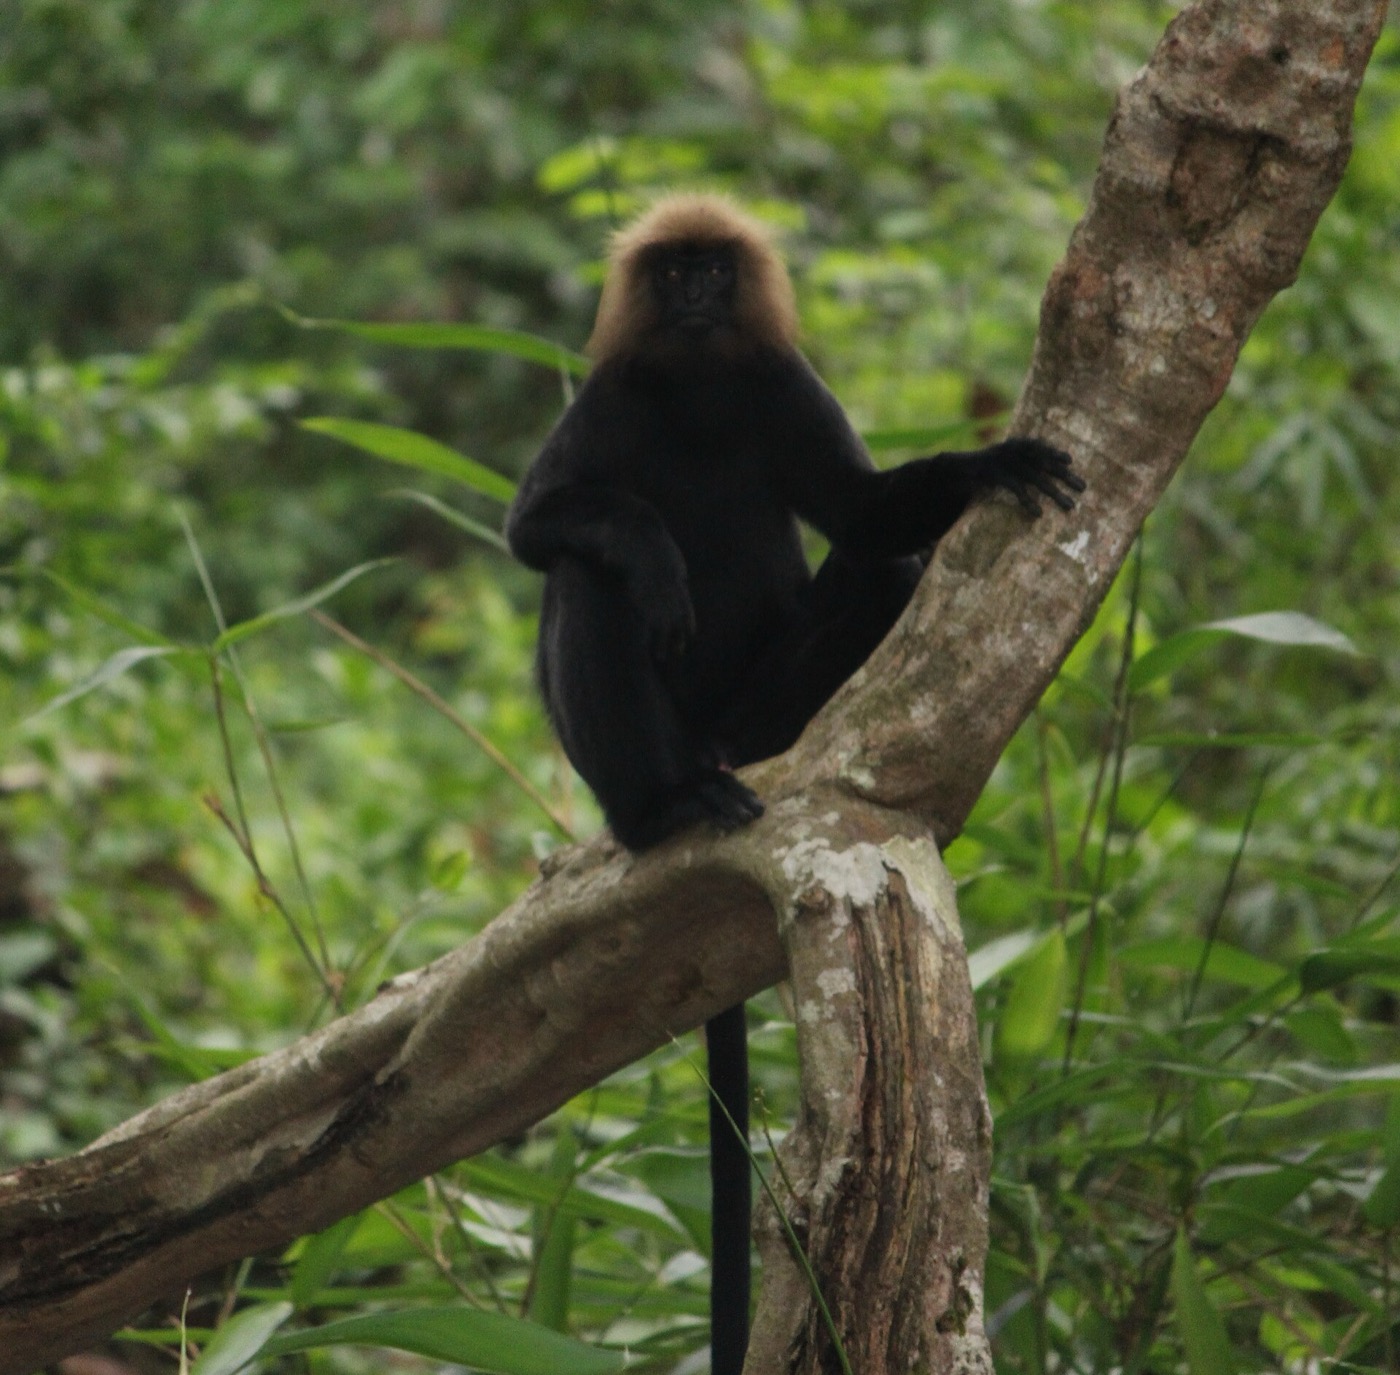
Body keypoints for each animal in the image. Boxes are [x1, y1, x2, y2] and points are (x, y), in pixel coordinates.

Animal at [505, 194, 1083, 1375]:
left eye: (714, 272)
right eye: (673, 270)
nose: (690, 296)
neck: (694, 391)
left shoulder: (779, 382)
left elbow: (863, 516)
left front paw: (985, 465)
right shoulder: (607, 399)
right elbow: (540, 528)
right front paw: (655, 555)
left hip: (767, 709)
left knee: (890, 569)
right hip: (642, 744)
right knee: (585, 577)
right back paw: (662, 809)